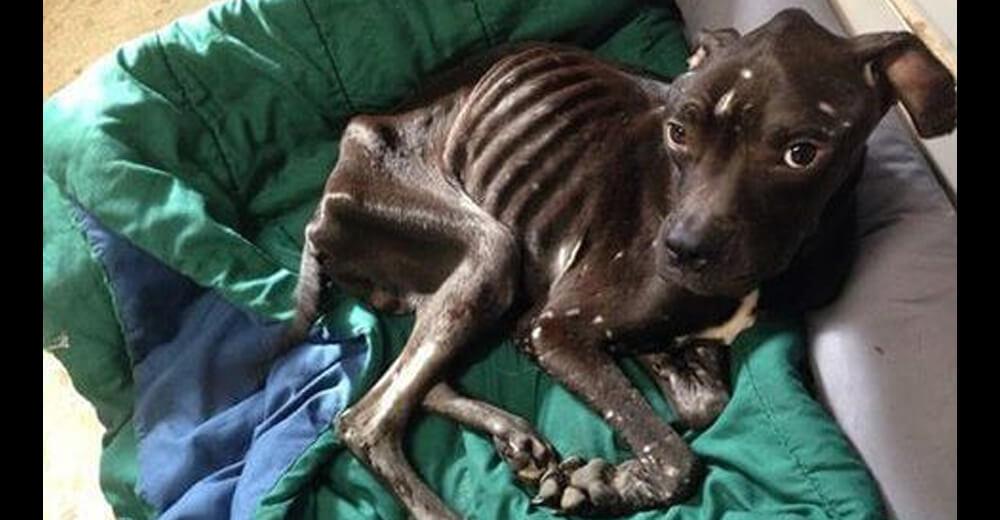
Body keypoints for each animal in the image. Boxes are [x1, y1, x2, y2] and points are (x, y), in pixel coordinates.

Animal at [284, 9, 956, 518]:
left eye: (802, 152)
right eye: (678, 131)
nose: (678, 251)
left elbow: (701, 402)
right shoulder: (554, 328)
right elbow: (670, 449)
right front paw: (607, 484)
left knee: (415, 383)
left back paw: (511, 434)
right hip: (488, 249)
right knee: (366, 421)